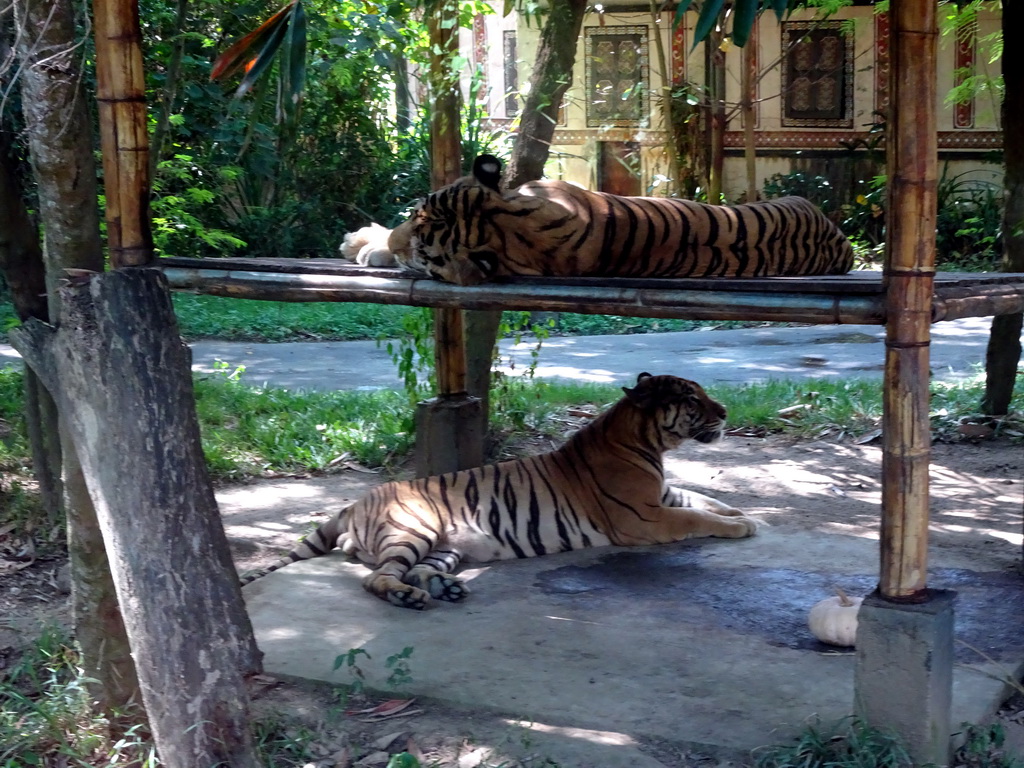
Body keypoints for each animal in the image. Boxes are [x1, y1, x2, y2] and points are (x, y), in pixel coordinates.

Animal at [241, 374, 761, 614]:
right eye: (691, 399)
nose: (726, 411)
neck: (647, 443)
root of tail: (355, 502)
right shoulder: (644, 516)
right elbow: (699, 518)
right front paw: (742, 526)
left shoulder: (663, 496)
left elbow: (705, 500)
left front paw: (741, 512)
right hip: (414, 528)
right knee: (376, 580)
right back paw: (411, 599)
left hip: (444, 547)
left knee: (417, 571)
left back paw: (446, 589)